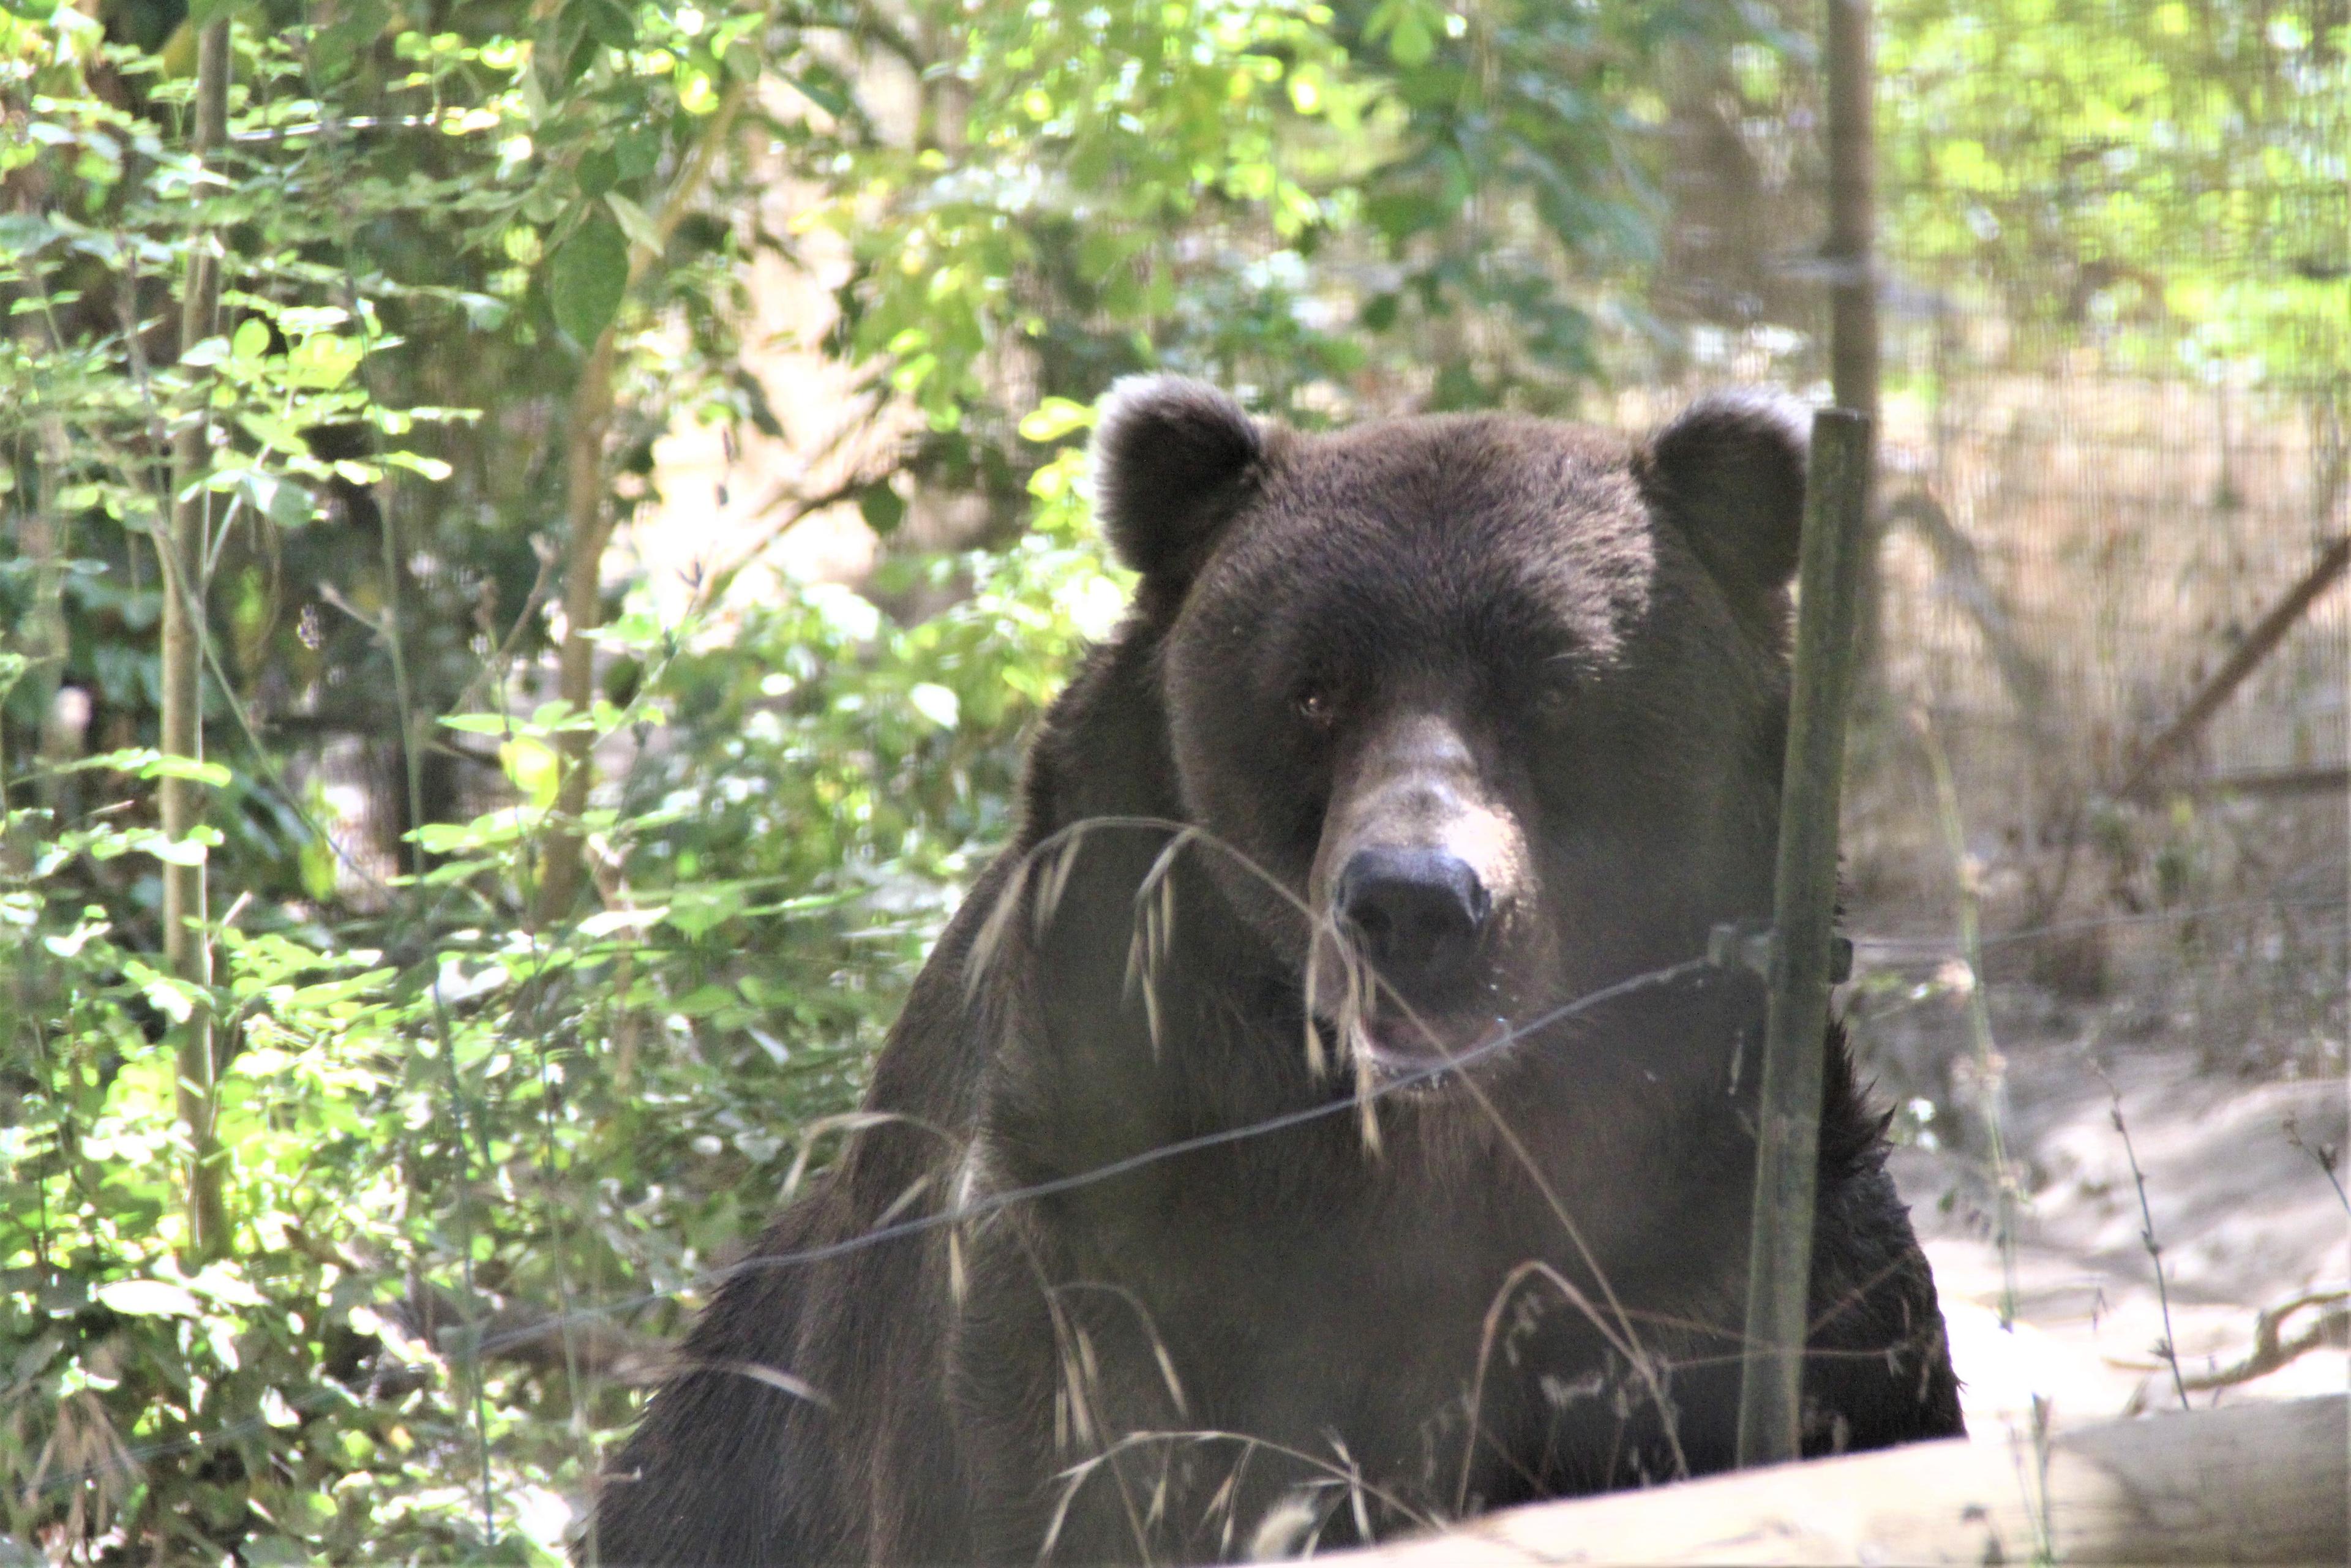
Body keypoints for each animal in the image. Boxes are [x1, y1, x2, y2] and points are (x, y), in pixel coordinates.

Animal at [588, 383, 1965, 1568]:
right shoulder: (1110, 1240)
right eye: (1312, 689)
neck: (1422, 1144)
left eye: (1557, 688)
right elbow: (1062, 1476)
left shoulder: (1714, 1238)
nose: (1415, 902)